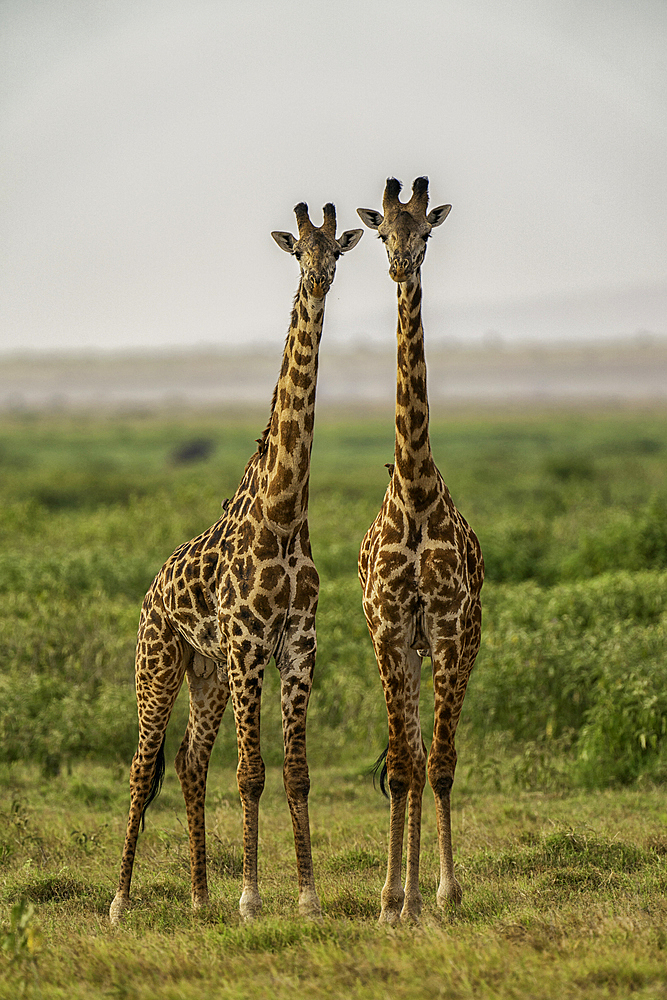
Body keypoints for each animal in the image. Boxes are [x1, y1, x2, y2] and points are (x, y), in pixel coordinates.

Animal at [108, 203, 366, 928]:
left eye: (337, 248)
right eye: (298, 252)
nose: (319, 280)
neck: (285, 515)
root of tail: (150, 591)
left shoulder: (299, 642)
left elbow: (295, 772)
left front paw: (308, 898)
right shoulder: (250, 641)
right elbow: (250, 773)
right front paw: (251, 899)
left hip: (209, 674)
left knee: (189, 763)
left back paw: (199, 898)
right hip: (159, 663)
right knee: (142, 767)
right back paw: (120, 902)